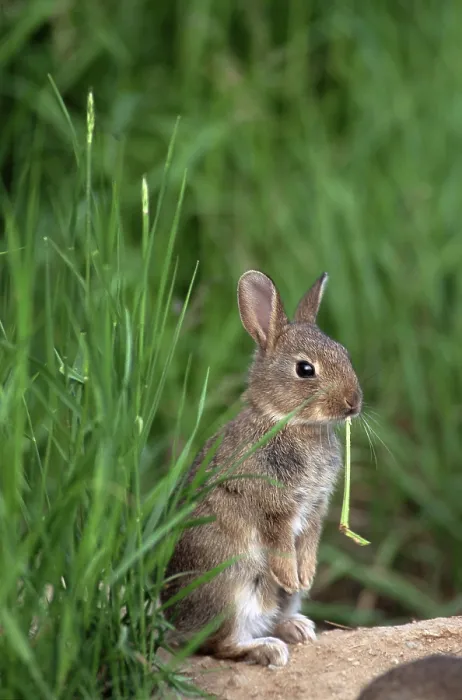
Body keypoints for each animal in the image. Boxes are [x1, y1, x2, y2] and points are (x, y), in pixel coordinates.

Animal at [160, 270, 362, 667]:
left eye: (345, 353)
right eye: (305, 369)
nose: (354, 403)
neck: (287, 422)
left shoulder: (314, 510)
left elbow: (308, 543)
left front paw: (306, 577)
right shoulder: (273, 508)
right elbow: (281, 548)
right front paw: (293, 577)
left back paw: (297, 628)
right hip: (232, 591)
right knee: (219, 644)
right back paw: (268, 649)